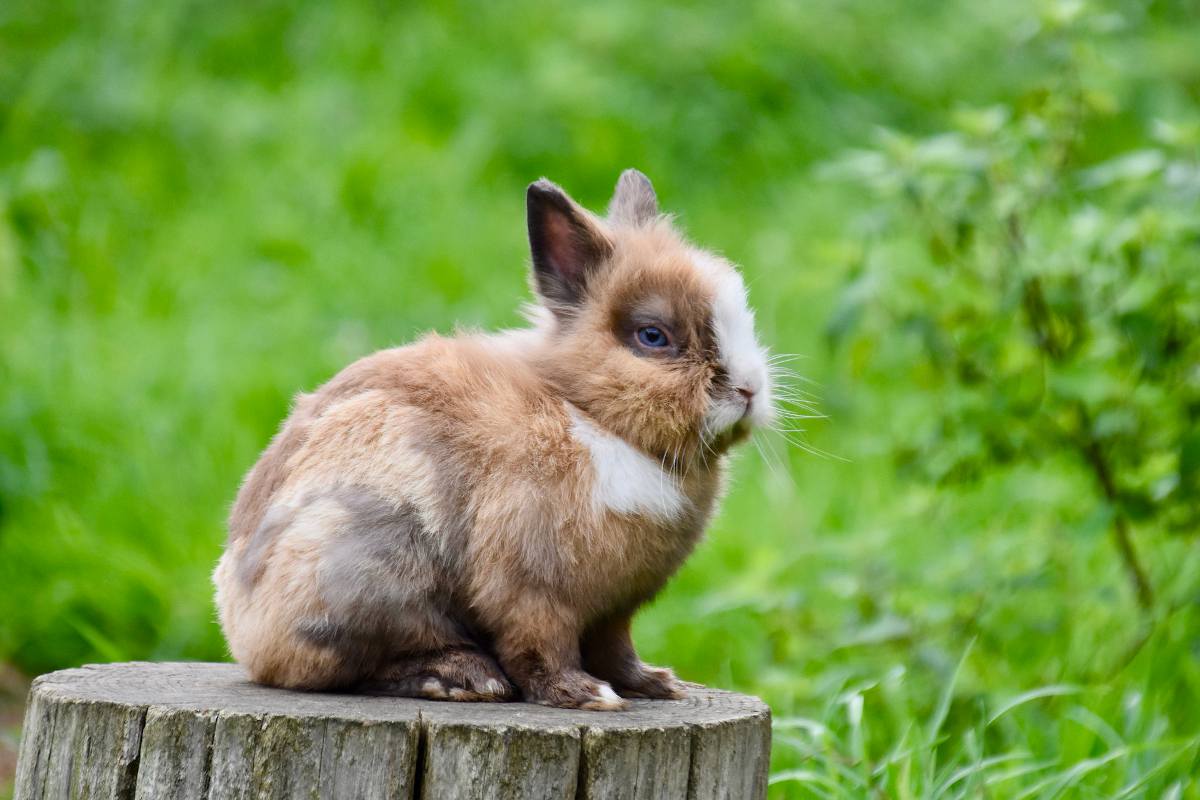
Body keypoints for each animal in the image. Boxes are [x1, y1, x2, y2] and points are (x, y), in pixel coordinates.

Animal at [213, 170, 777, 714]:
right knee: (356, 667)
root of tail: (238, 623)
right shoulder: (533, 589)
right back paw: (466, 678)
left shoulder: (615, 609)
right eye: (653, 337)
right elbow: (541, 648)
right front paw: (587, 697)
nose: (748, 389)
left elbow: (616, 651)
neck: (587, 414)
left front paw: (655, 685)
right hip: (367, 567)